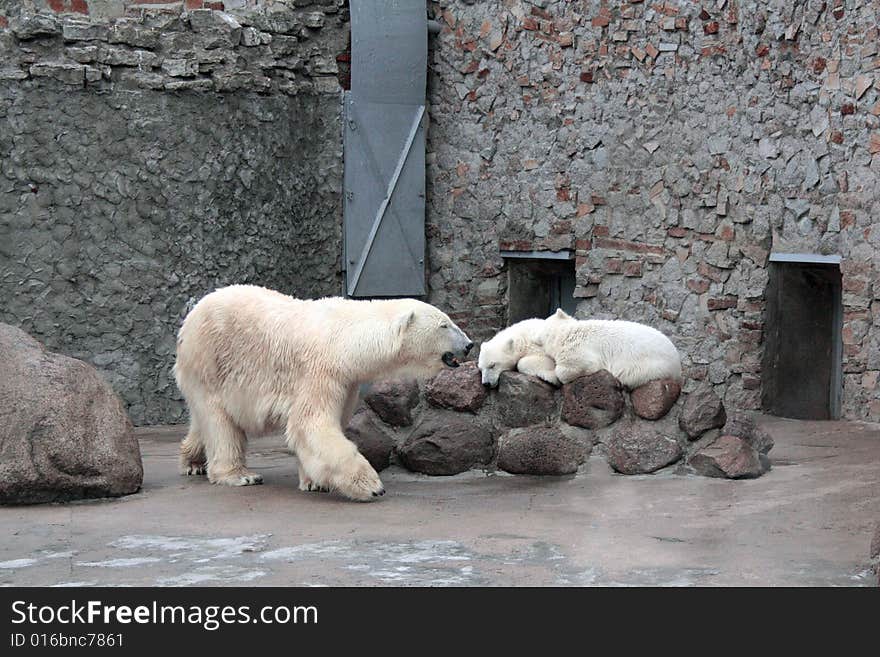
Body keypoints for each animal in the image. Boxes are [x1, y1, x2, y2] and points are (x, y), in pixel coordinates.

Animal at [174, 284, 474, 502]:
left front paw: (313, 482)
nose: (469, 344)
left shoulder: (347, 380)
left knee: (204, 420)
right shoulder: (319, 371)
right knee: (219, 421)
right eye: (445, 325)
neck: (347, 340)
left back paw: (192, 461)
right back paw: (240, 475)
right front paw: (370, 485)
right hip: (210, 362)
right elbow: (311, 424)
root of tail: (192, 313)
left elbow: (328, 426)